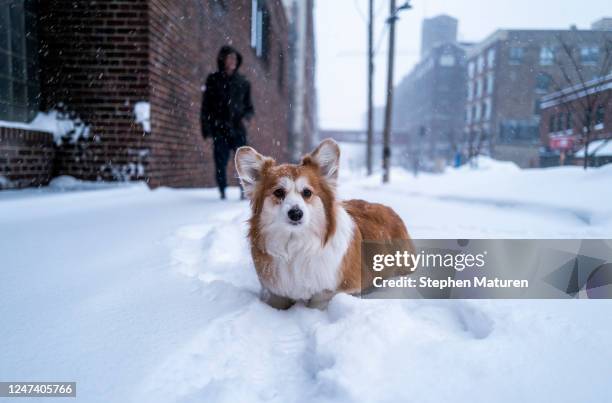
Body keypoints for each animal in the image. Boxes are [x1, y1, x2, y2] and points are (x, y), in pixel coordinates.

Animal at [234, 139, 412, 310]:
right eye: (279, 192)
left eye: (307, 192)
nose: (296, 213)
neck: (296, 244)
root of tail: (390, 210)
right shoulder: (274, 290)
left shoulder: (344, 287)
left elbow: (320, 300)